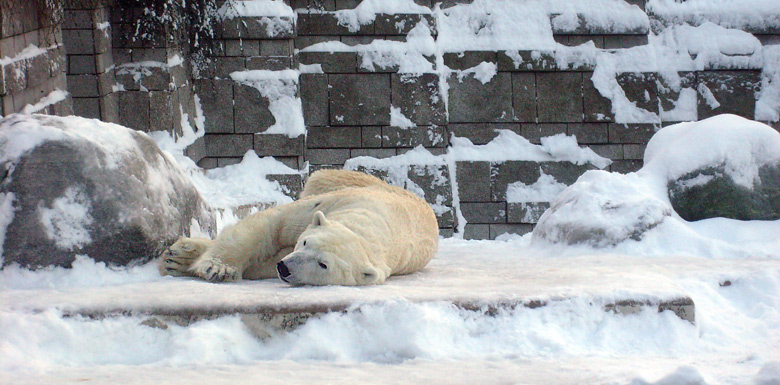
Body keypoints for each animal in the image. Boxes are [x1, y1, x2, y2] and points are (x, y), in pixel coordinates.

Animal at [160, 169, 438, 284]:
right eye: (306, 242)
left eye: (323, 265)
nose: (284, 268)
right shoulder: (333, 202)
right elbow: (269, 225)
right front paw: (217, 268)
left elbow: (263, 262)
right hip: (342, 180)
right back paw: (179, 255)